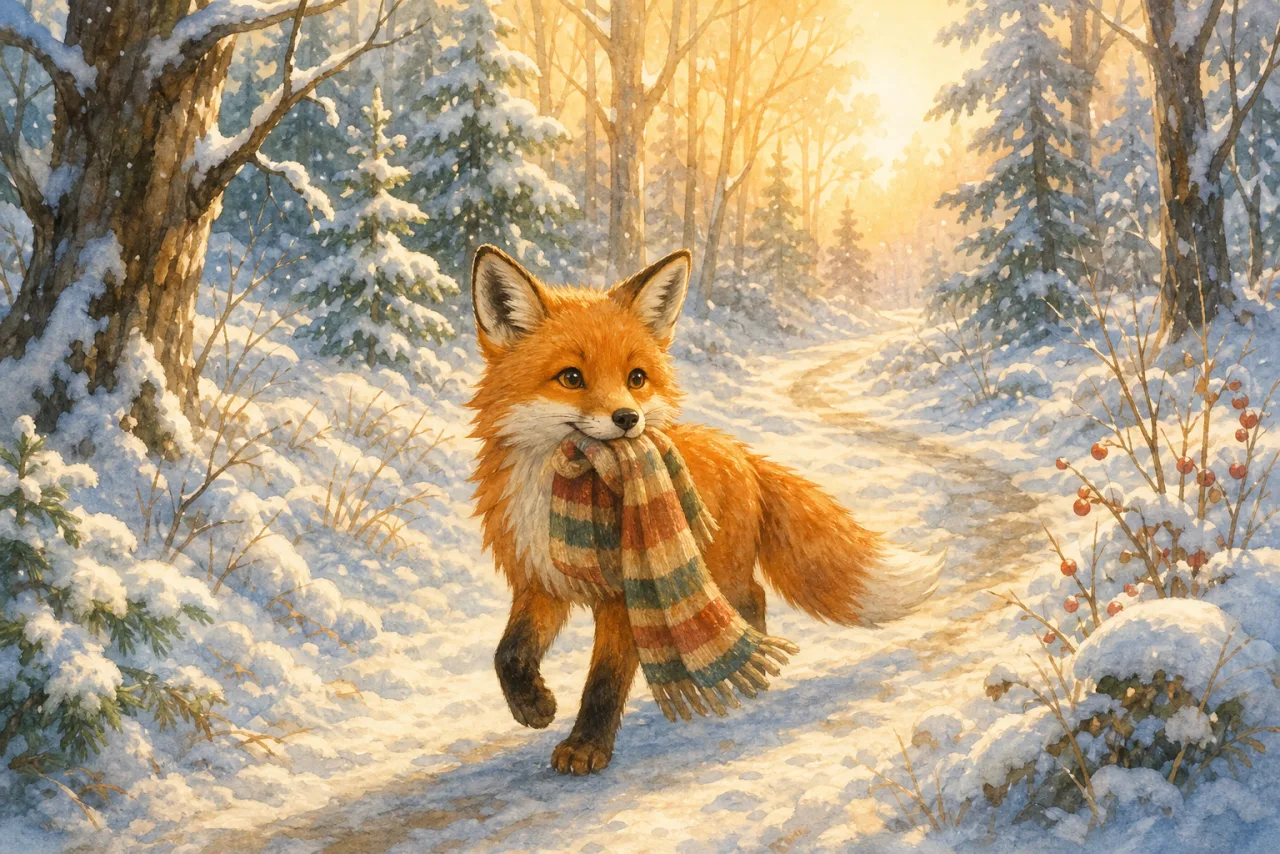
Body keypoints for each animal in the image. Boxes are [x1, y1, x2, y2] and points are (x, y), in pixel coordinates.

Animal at [467, 244, 942, 776]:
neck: (564, 493)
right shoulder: (538, 578)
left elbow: (604, 679)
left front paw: (587, 745)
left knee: (752, 598)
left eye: (636, 378)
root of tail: (741, 451)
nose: (628, 418)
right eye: (571, 377)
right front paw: (532, 705)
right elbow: (508, 653)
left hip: (722, 567)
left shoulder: (623, 594)